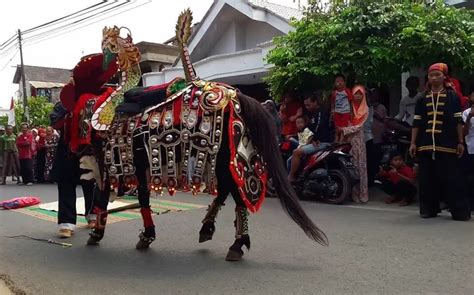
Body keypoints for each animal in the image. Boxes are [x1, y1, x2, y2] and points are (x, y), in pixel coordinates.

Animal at [61, 8, 328, 262]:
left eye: (108, 47)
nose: (103, 63)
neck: (109, 110)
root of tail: (234, 94)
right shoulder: (139, 162)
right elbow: (143, 198)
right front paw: (146, 235)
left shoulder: (110, 162)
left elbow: (103, 196)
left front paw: (97, 233)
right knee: (226, 191)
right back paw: (209, 229)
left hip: (226, 158)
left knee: (236, 193)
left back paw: (236, 243)